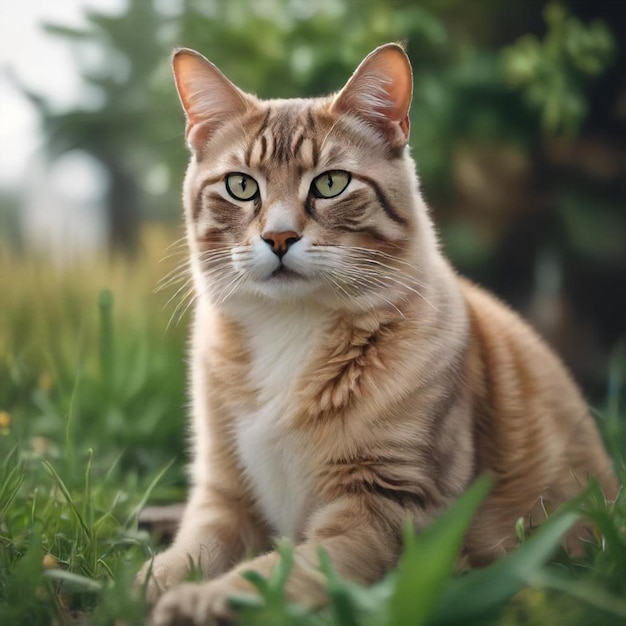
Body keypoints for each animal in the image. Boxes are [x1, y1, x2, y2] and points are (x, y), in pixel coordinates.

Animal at [138, 41, 616, 620]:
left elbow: (284, 571)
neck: (291, 328)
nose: (279, 237)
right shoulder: (224, 491)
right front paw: (153, 581)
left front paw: (207, 599)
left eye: (330, 183)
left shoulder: (388, 508)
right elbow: (192, 548)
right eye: (241, 186)